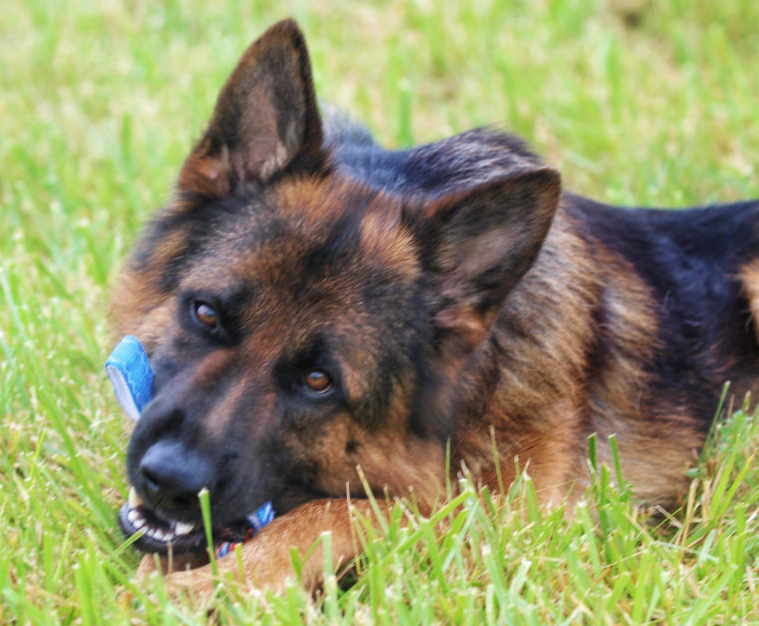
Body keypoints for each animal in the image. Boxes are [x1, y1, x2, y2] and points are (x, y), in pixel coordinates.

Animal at [114, 19, 759, 592]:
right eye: (205, 314)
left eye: (320, 382)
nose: (169, 481)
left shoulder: (510, 526)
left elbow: (349, 510)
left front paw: (209, 589)